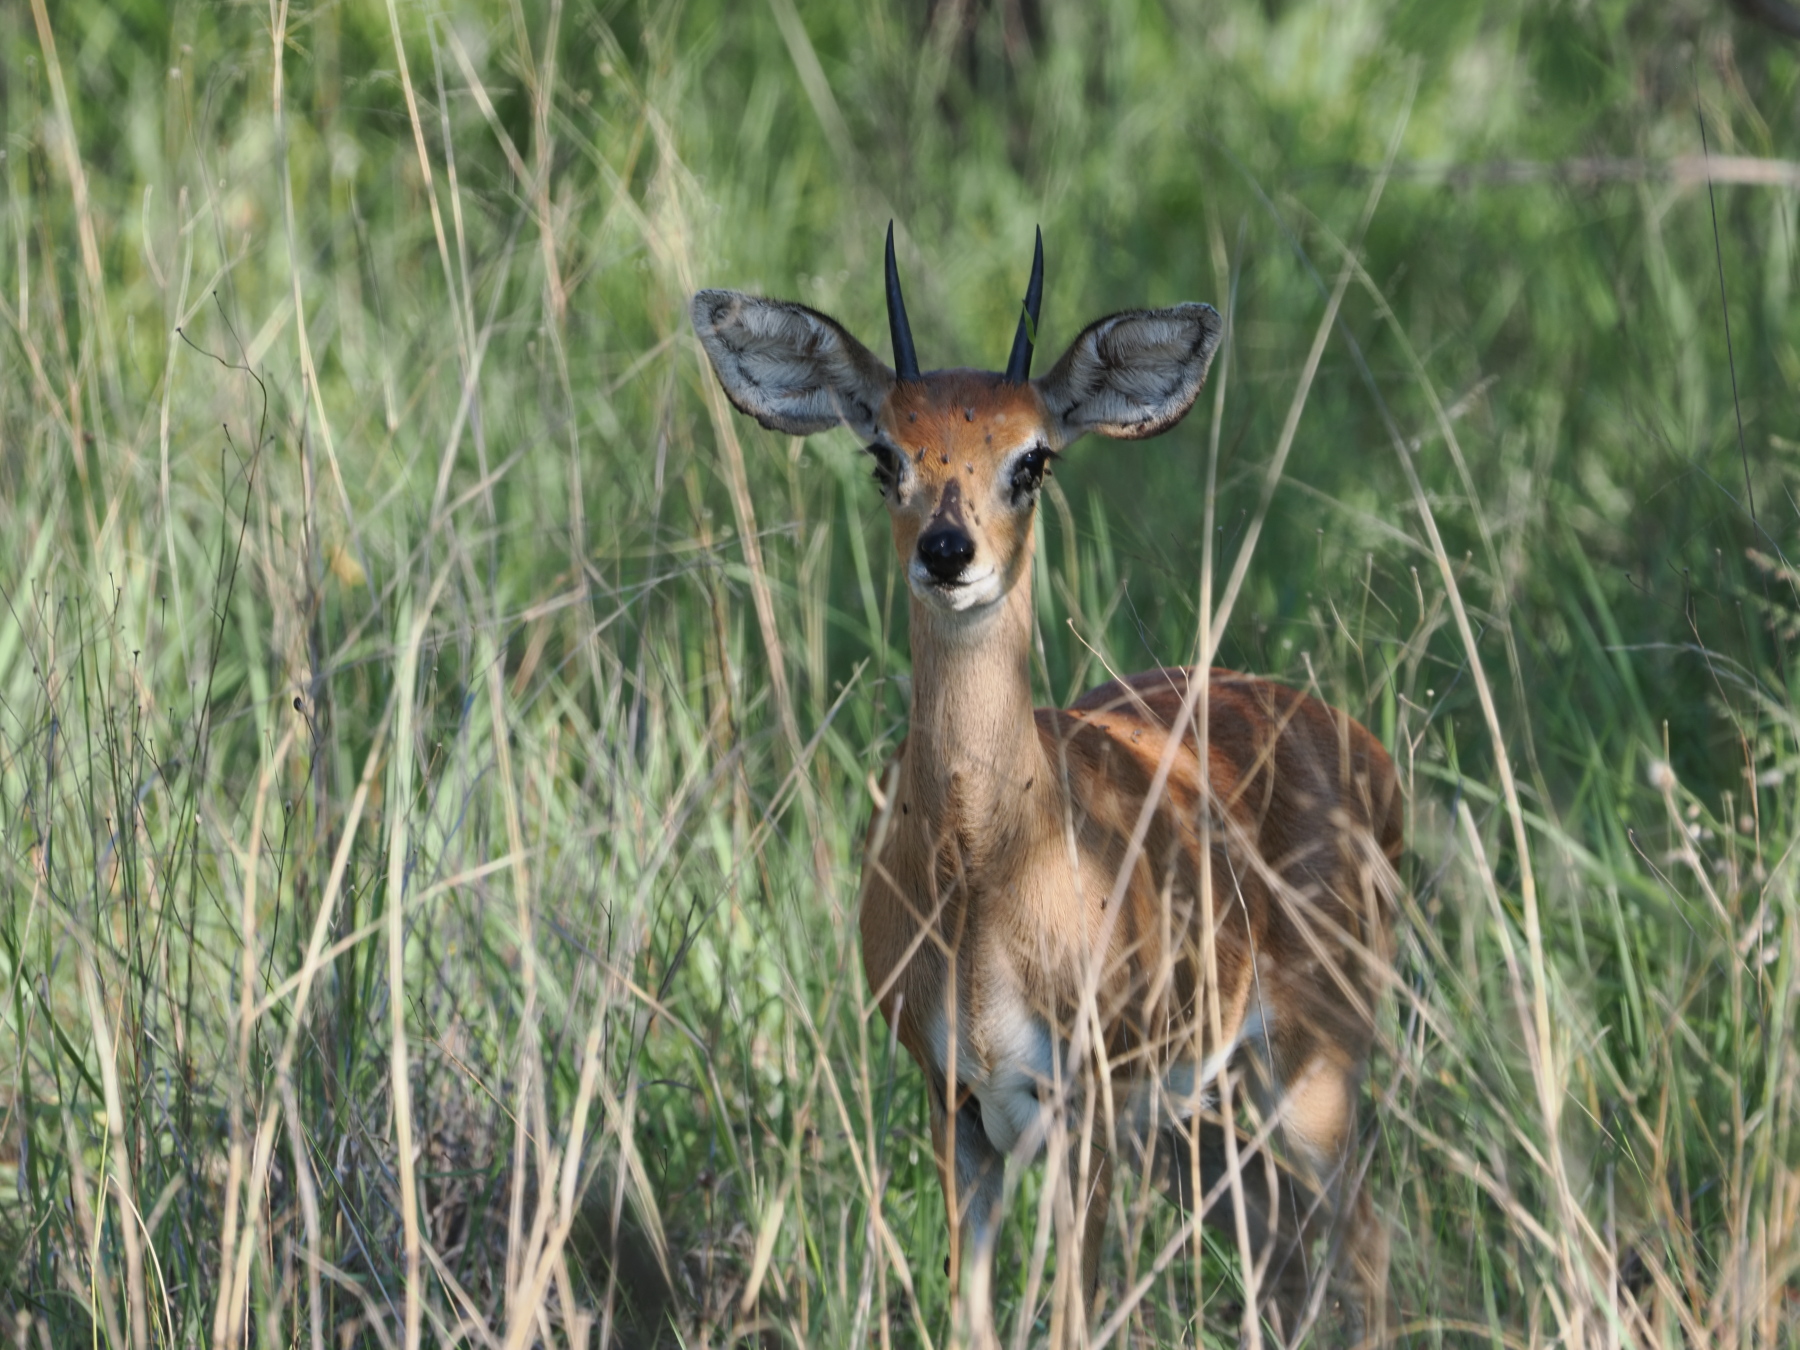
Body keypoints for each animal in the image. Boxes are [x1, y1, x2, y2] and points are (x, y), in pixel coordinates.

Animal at [691, 228, 1403, 1345]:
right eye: (885, 452)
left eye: (1033, 457)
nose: (949, 552)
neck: (988, 872)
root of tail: (1360, 745)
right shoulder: (958, 1104)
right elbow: (969, 1314)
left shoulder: (1086, 1109)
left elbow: (1074, 1310)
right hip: (1211, 1121)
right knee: (1283, 1254)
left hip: (1310, 1071)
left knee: (1365, 1245)